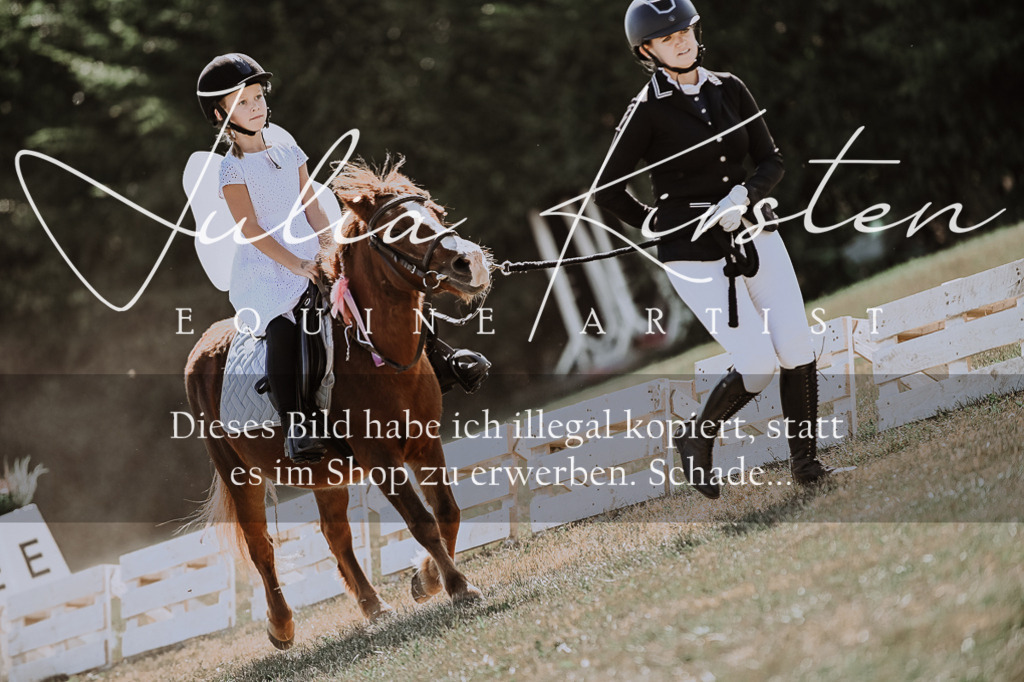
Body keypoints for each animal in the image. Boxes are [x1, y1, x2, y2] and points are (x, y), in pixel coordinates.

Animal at [185, 159, 492, 649]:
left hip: (325, 472)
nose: (471, 262)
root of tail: (203, 345)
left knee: (335, 534)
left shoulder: (426, 444)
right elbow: (421, 521)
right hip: (239, 474)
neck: (375, 353)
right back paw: (281, 625)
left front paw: (426, 580)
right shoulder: (380, 457)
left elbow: (447, 512)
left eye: (438, 213)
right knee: (260, 546)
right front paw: (459, 588)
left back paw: (373, 606)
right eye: (398, 227)